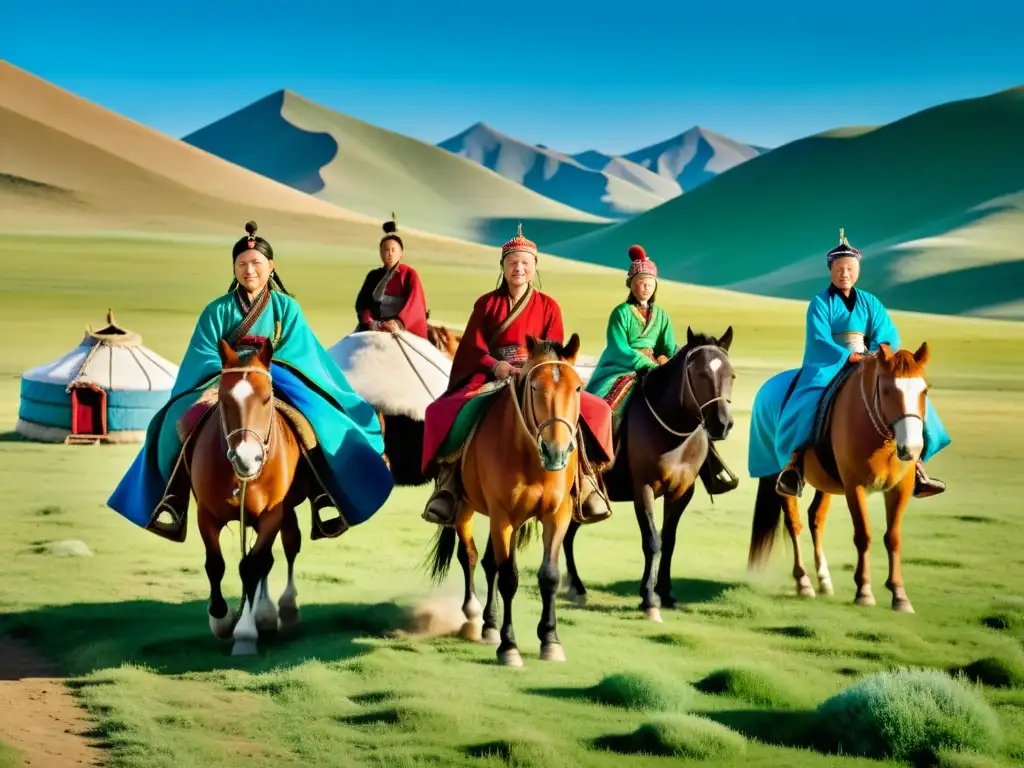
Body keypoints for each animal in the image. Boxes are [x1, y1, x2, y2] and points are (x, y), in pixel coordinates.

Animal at [190, 337, 305, 655]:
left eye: (267, 398)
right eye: (224, 399)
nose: (246, 458)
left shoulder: (273, 514)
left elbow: (252, 566)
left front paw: (244, 634)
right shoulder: (206, 514)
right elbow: (215, 564)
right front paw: (220, 618)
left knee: (286, 548)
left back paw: (284, 611)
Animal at [425, 335, 585, 667]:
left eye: (577, 388)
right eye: (534, 387)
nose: (556, 452)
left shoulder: (557, 515)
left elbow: (549, 576)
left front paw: (550, 640)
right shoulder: (503, 516)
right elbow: (509, 577)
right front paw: (509, 647)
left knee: (489, 563)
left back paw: (490, 623)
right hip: (466, 508)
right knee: (471, 556)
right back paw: (475, 614)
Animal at [561, 327, 737, 622]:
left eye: (731, 375)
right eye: (699, 374)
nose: (721, 423)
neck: (673, 435)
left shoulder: (682, 492)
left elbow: (669, 540)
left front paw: (667, 594)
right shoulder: (642, 489)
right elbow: (652, 541)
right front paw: (648, 599)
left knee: (567, 534)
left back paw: (578, 588)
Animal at [745, 346, 937, 618]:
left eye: (924, 390)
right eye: (887, 390)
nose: (911, 449)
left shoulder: (900, 489)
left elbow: (894, 537)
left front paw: (899, 595)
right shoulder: (854, 486)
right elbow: (863, 535)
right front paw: (864, 592)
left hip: (825, 482)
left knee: (816, 518)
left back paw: (824, 580)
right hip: (777, 474)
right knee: (794, 524)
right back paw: (803, 582)